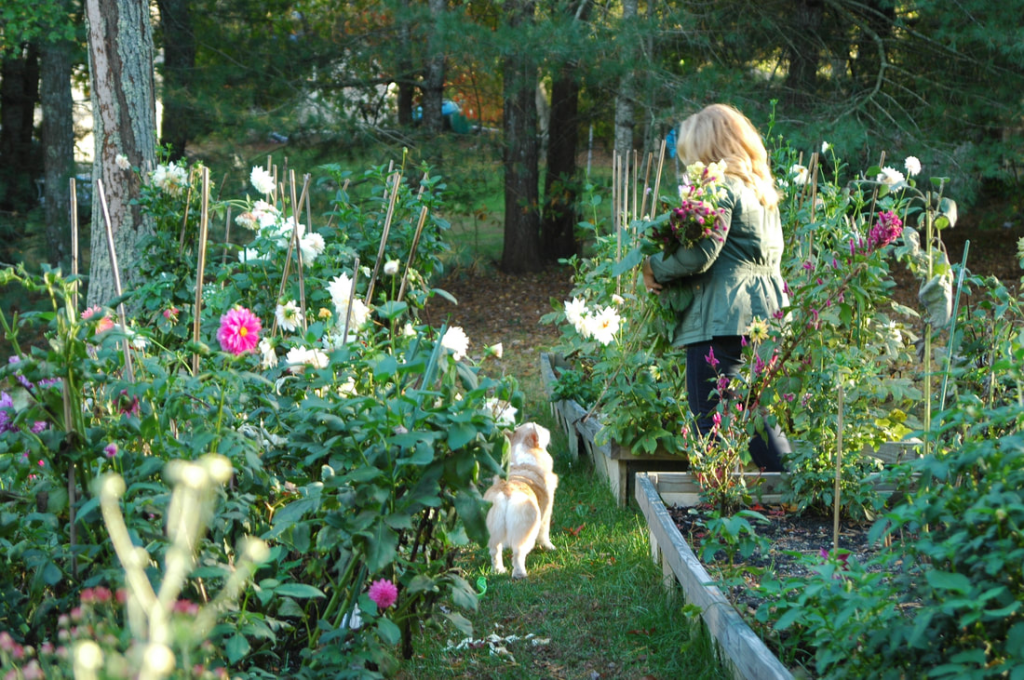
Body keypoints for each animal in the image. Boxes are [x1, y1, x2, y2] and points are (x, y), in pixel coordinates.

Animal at [481, 421, 557, 577]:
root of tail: (505, 494)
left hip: (494, 530)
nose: (548, 431)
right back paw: (520, 574)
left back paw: (499, 571)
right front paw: (550, 547)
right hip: (525, 533)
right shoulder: (546, 514)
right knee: (518, 554)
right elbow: (544, 534)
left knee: (495, 551)